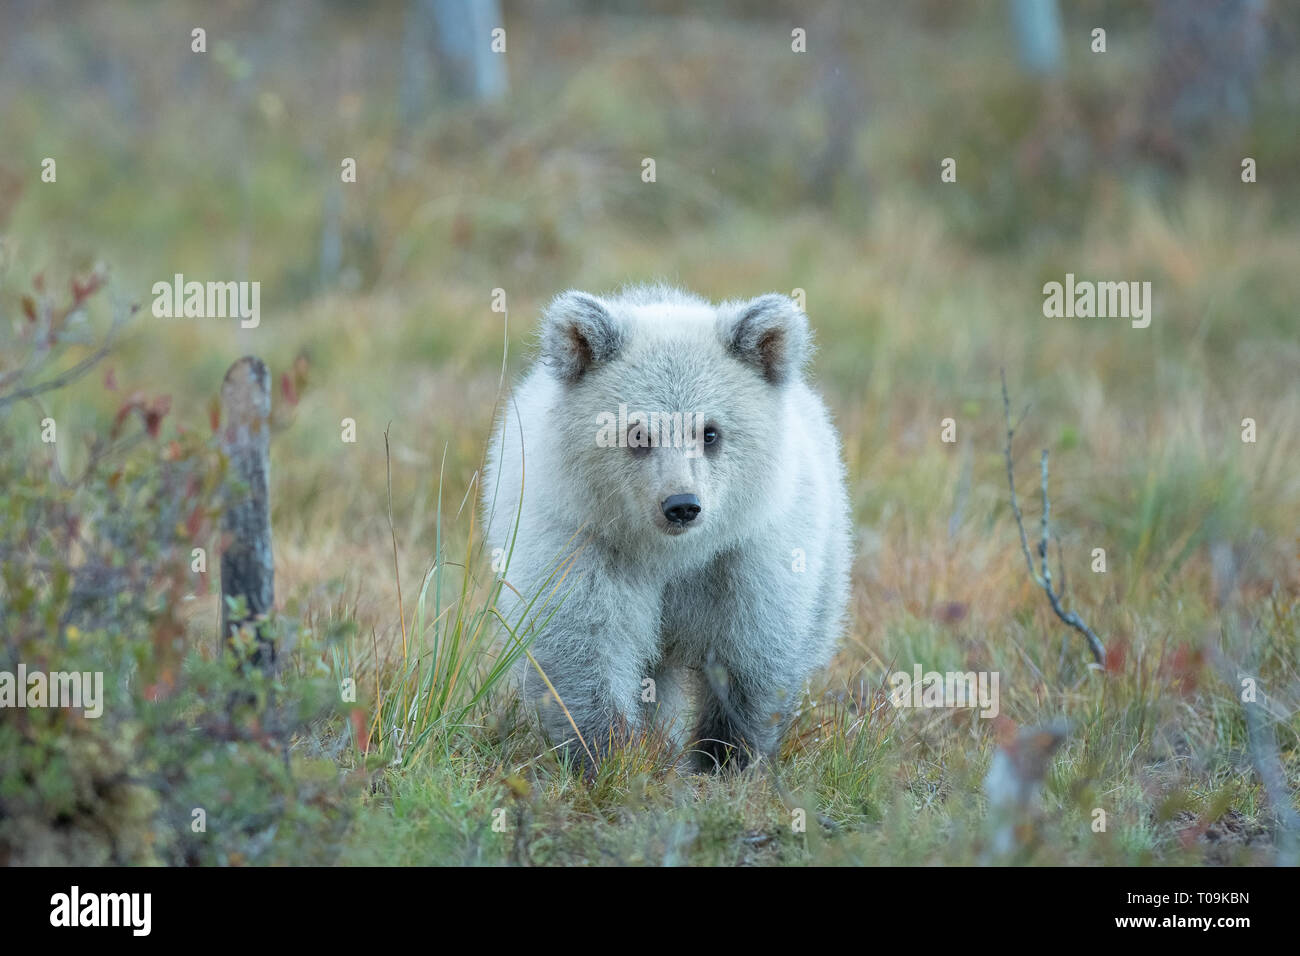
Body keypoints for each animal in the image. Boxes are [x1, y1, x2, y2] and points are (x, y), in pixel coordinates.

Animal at [482, 285, 851, 773]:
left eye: (710, 432)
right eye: (637, 432)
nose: (681, 506)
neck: (671, 555)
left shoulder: (747, 557)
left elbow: (754, 654)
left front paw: (727, 758)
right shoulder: (582, 543)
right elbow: (583, 646)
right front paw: (611, 756)